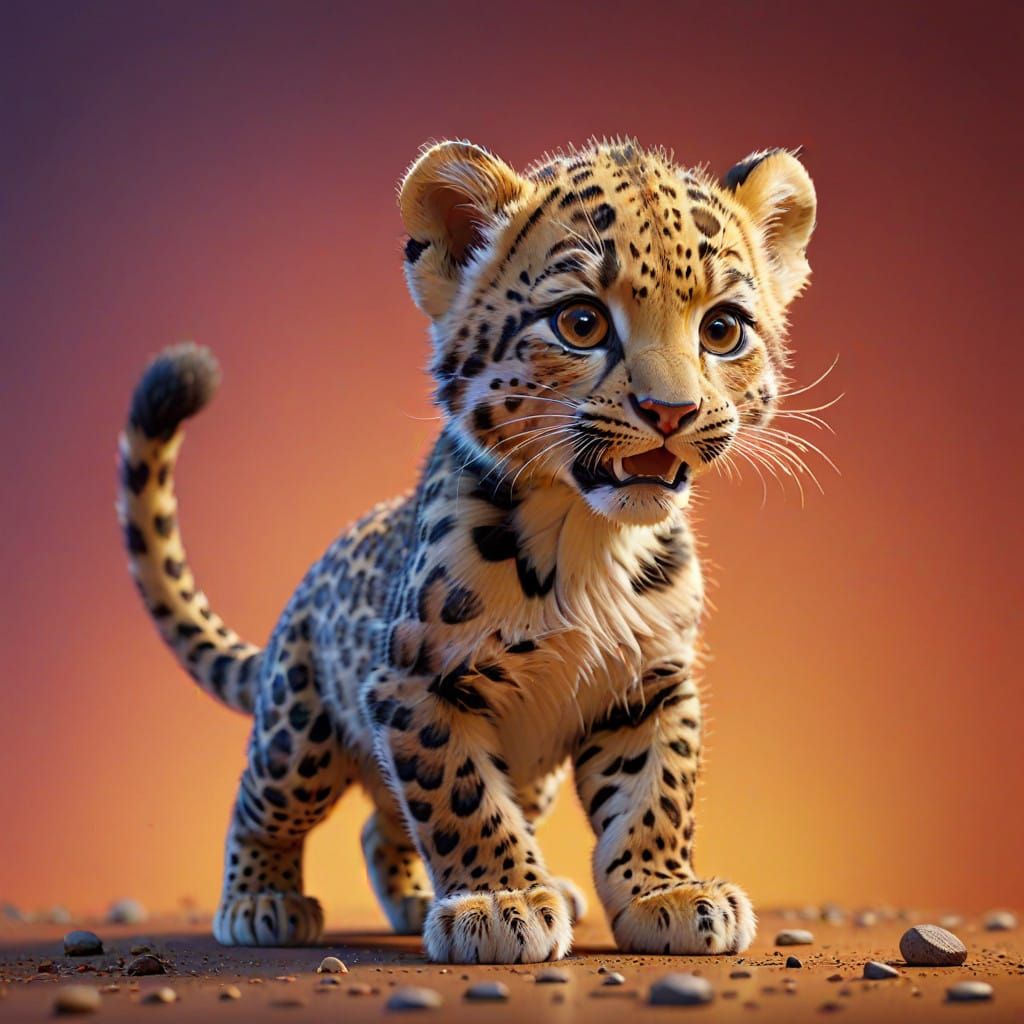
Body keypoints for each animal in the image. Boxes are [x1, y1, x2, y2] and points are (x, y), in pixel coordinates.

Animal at [116, 136, 817, 963]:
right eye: (581, 322)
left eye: (722, 329)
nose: (671, 411)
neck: (589, 539)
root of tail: (306, 586)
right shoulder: (415, 684)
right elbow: (459, 797)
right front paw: (500, 902)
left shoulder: (652, 684)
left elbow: (658, 793)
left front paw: (666, 892)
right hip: (301, 728)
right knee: (264, 803)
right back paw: (262, 901)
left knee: (382, 823)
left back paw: (428, 897)